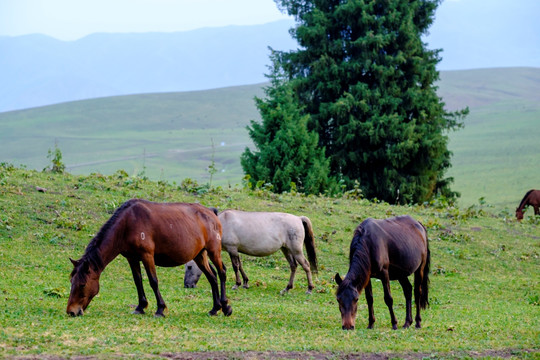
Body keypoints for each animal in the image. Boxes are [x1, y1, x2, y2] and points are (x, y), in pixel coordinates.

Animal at [66, 200, 231, 318]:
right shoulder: (132, 258)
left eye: (82, 284)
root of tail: (211, 212)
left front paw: (160, 309)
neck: (127, 223)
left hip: (213, 251)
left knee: (222, 272)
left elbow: (153, 281)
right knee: (212, 277)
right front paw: (140, 307)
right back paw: (214, 308)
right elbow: (138, 281)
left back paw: (225, 307)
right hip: (199, 255)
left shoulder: (147, 256)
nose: (71, 311)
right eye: (71, 282)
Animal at [182, 210, 316, 294]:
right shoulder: (236, 250)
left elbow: (235, 266)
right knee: (293, 266)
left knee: (306, 265)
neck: (221, 224)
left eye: (189, 267)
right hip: (286, 250)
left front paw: (237, 284)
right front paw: (245, 283)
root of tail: (298, 218)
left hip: (296, 250)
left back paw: (309, 289)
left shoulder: (232, 249)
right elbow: (240, 265)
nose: (187, 285)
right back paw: (287, 288)